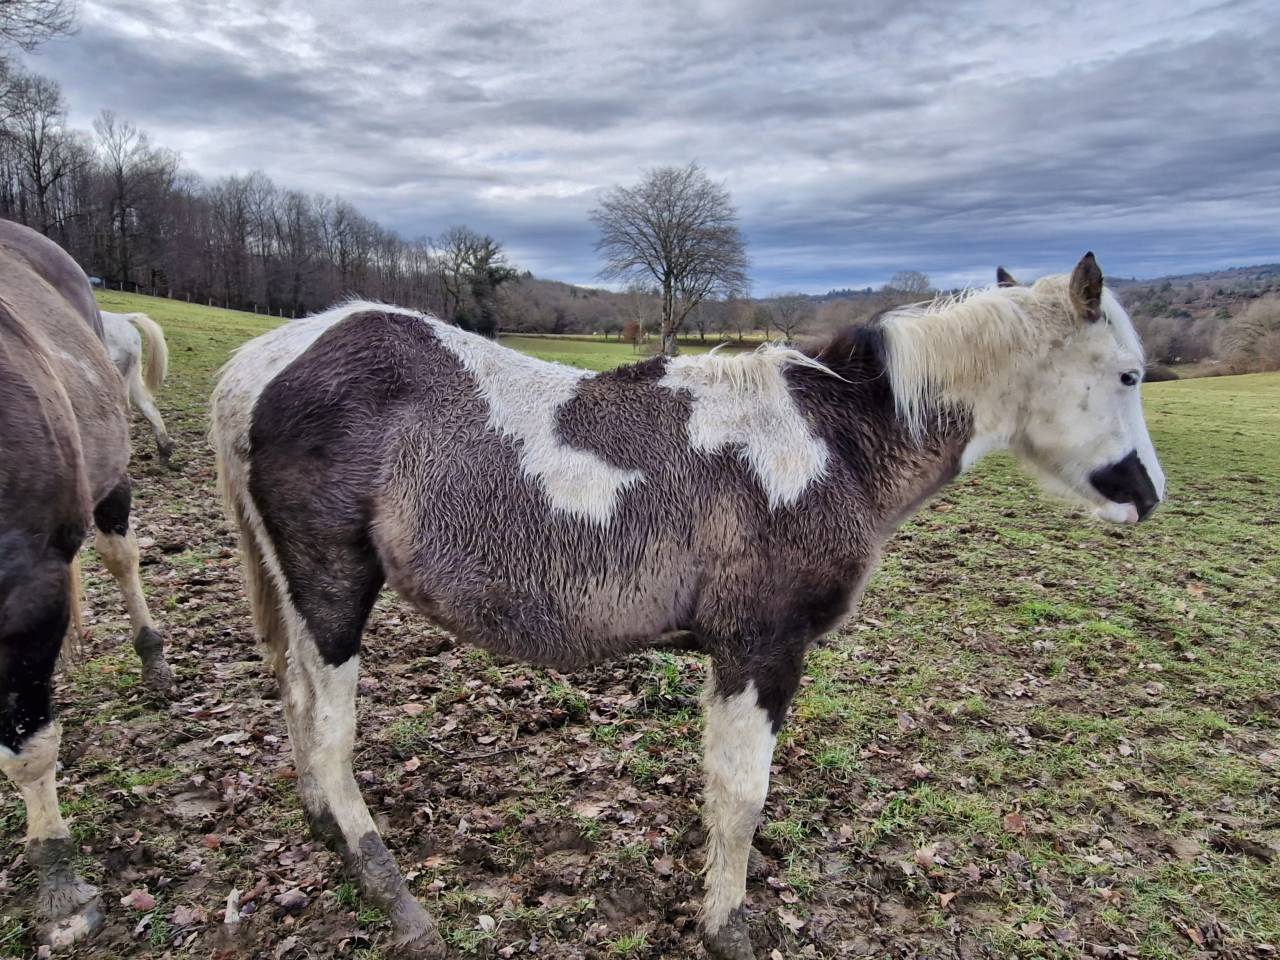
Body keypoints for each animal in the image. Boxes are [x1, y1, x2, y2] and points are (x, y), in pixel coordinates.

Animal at [211, 252, 1164, 959]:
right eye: (1127, 375)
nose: (1148, 496)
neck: (830, 443)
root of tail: (261, 364)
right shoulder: (760, 651)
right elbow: (742, 797)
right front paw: (726, 925)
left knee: (294, 706)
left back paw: (327, 833)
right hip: (333, 595)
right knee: (328, 735)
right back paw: (391, 893)